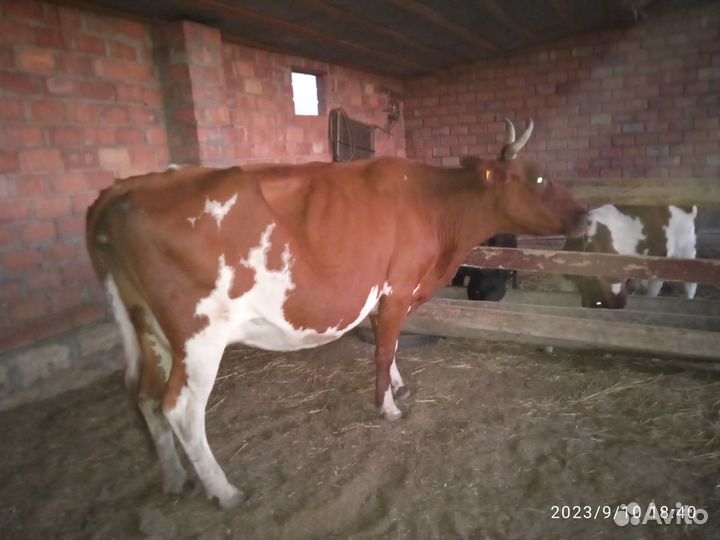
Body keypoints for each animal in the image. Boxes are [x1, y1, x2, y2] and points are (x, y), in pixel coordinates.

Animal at [86, 118, 587, 509]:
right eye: (538, 180)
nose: (584, 217)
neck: (433, 205)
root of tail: (124, 187)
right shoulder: (398, 287)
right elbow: (384, 349)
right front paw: (388, 407)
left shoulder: (379, 294)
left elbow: (390, 344)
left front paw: (398, 388)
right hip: (198, 333)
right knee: (181, 408)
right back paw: (224, 490)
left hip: (148, 326)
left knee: (145, 395)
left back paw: (175, 479)